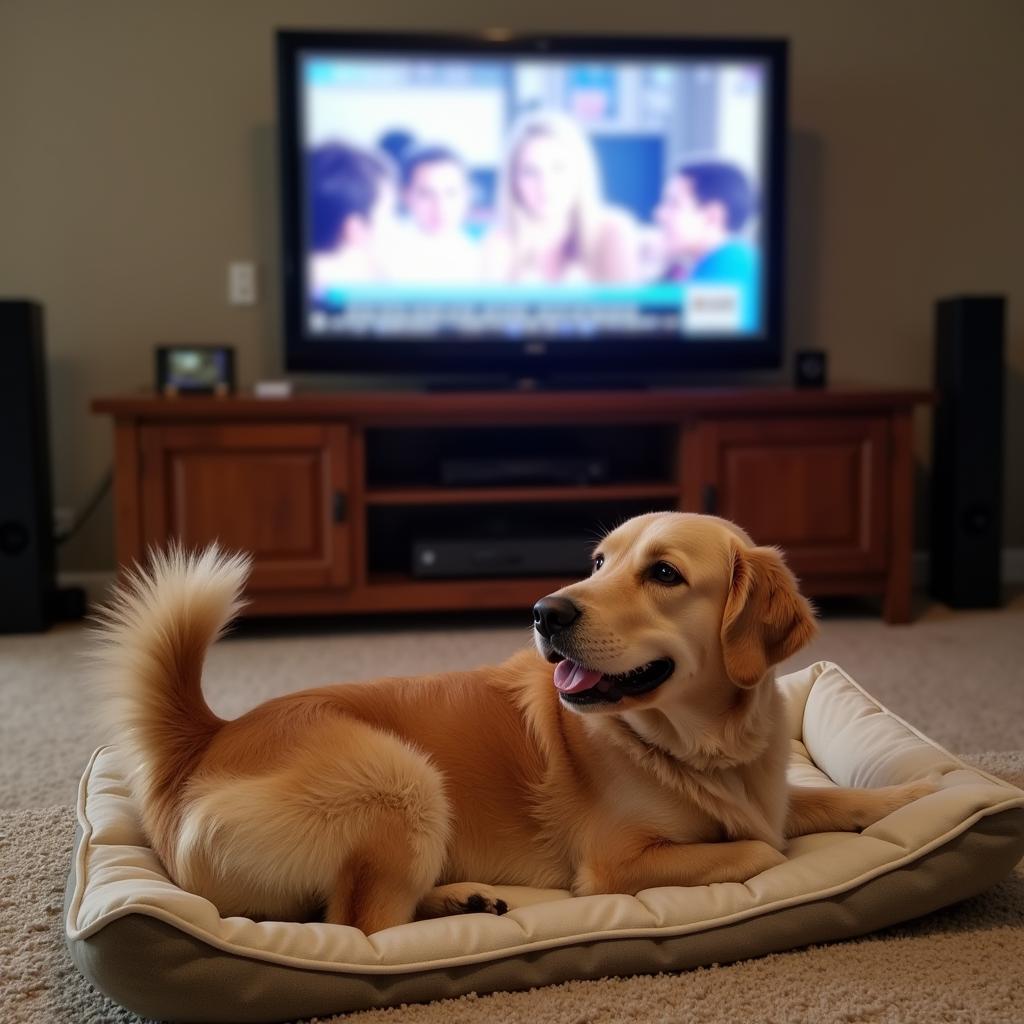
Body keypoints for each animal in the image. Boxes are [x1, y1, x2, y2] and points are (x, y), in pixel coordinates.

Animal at [92, 507, 933, 933]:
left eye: (664, 573)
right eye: (598, 562)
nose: (544, 611)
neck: (702, 744)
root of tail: (203, 742)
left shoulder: (772, 794)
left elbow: (826, 800)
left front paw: (915, 795)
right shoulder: (617, 863)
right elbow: (765, 849)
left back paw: (462, 899)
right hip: (401, 779)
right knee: (362, 924)